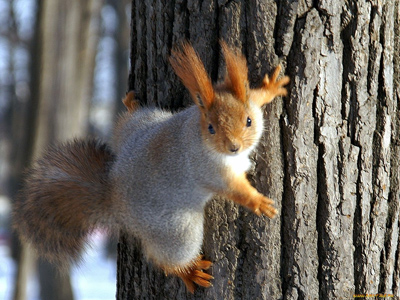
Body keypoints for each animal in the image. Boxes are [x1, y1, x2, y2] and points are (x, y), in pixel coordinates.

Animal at [12, 41, 288, 292]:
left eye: (248, 121)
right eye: (211, 128)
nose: (234, 147)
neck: (199, 133)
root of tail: (114, 197)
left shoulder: (251, 106)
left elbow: (256, 97)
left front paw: (271, 87)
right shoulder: (209, 171)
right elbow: (235, 190)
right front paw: (259, 202)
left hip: (145, 123)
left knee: (127, 122)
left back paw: (131, 105)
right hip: (178, 231)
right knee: (163, 258)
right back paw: (187, 271)